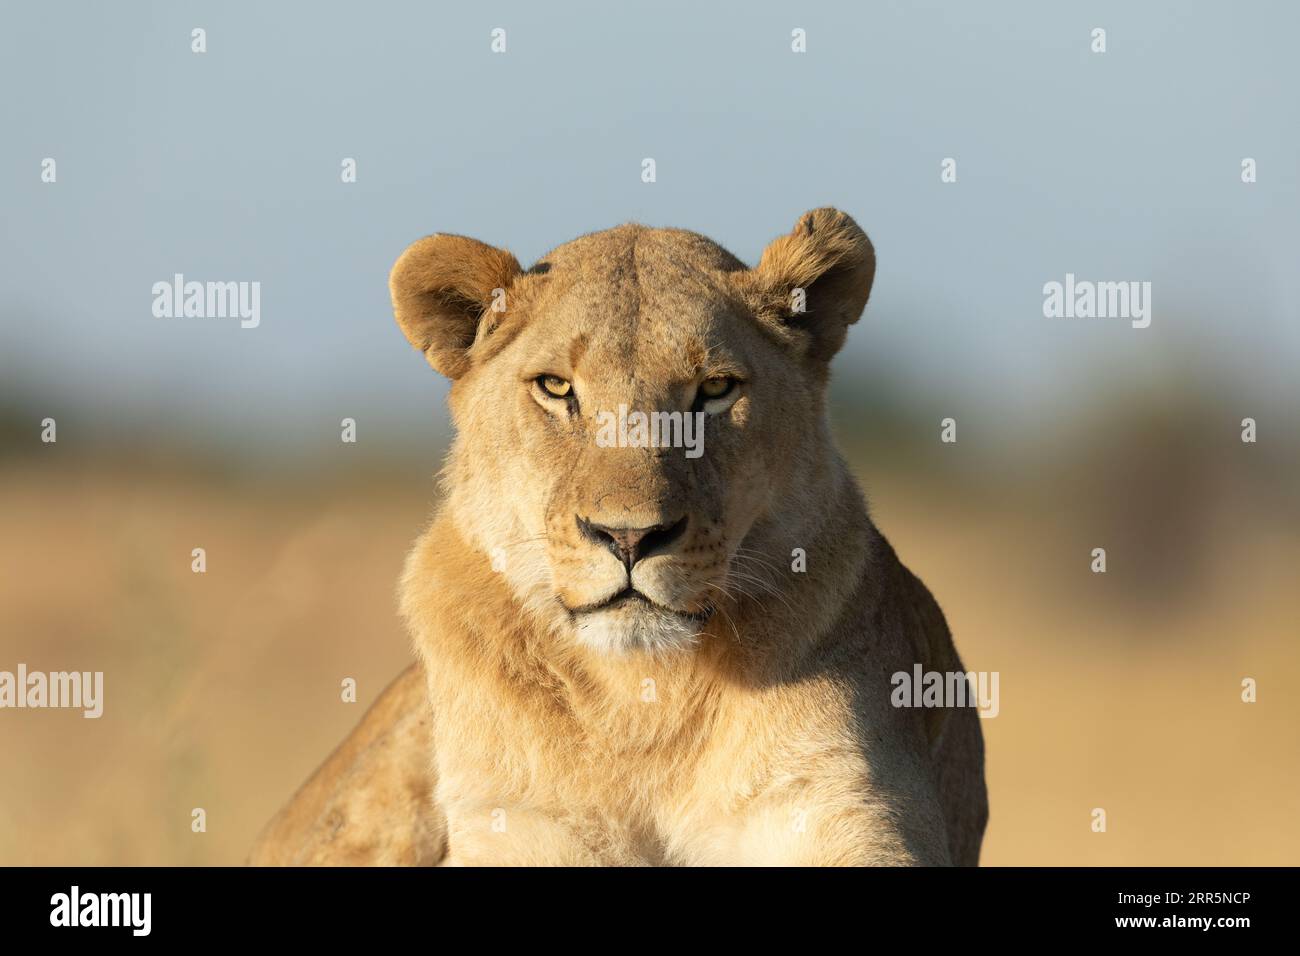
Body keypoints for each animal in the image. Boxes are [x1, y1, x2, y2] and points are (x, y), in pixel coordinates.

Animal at [250, 208, 982, 868]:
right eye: (555, 388)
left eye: (715, 389)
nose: (629, 537)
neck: (640, 698)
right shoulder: (517, 820)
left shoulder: (846, 803)